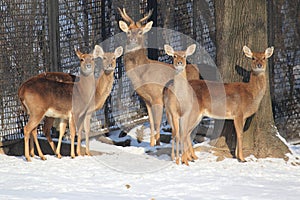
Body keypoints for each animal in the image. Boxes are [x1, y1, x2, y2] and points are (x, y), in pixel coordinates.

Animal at [118, 7, 200, 147]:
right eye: (128, 32)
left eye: (140, 32)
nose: (133, 41)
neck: (142, 74)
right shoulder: (147, 100)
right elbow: (151, 124)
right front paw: (152, 144)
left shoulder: (157, 96)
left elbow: (157, 124)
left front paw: (157, 144)